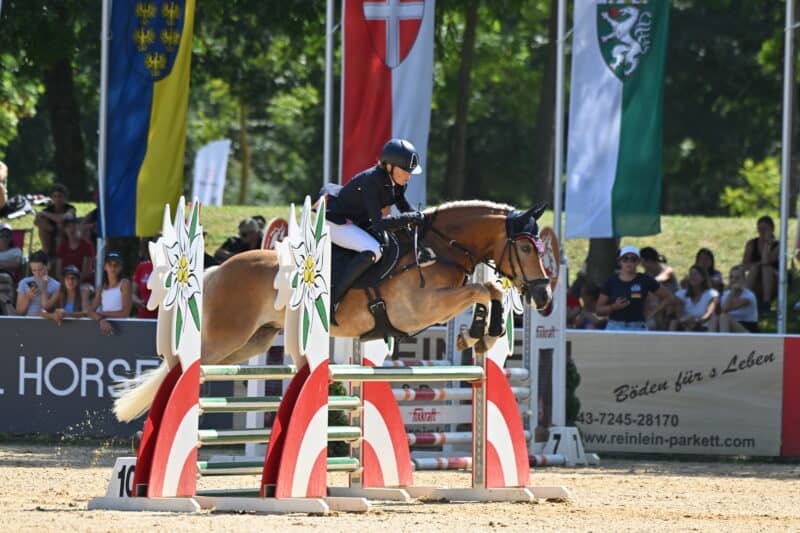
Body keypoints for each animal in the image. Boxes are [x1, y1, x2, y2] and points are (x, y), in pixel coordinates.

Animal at [114, 200, 552, 420]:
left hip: (249, 342)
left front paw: (477, 334)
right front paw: (482, 331)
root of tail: (218, 268)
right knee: (178, 365)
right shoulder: (421, 307)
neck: (438, 247)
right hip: (225, 336)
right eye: (525, 247)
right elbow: (485, 287)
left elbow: (487, 288)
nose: (545, 296)